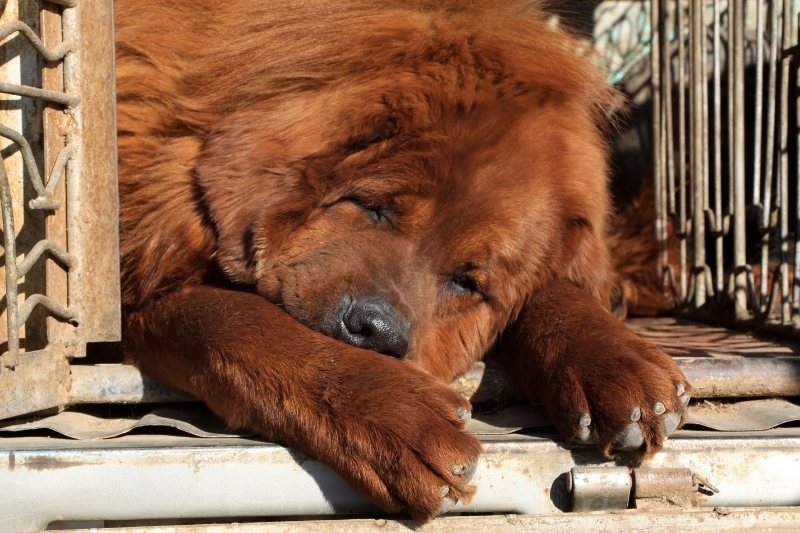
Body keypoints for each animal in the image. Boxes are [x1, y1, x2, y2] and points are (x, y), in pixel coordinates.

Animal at [115, 1, 692, 520]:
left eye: (466, 282)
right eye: (373, 207)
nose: (376, 330)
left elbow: (558, 288)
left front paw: (614, 359)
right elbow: (239, 323)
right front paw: (398, 417)